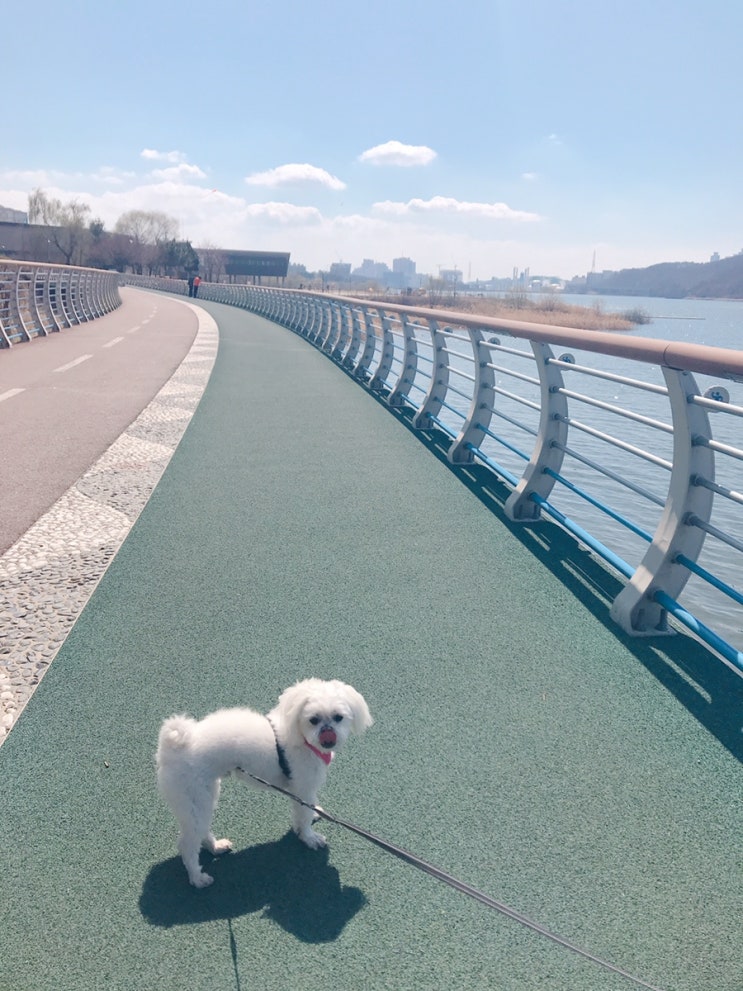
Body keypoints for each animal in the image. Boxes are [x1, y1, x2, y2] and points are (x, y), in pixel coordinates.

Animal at [156, 680, 372, 888]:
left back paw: (215, 847)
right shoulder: (303, 787)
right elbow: (303, 817)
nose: (328, 738)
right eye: (313, 720)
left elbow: (303, 813)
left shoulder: (300, 791)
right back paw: (198, 878)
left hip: (204, 796)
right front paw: (310, 838)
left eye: (338, 717)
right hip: (193, 796)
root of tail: (172, 746)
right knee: (187, 844)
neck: (300, 737)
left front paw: (312, 817)